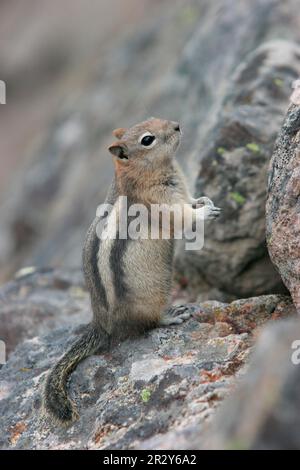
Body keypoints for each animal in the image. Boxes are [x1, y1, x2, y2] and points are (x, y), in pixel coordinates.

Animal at [42, 116, 220, 422]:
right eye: (147, 139)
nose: (177, 126)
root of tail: (102, 324)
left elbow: (192, 201)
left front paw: (205, 201)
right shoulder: (163, 202)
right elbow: (184, 218)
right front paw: (206, 212)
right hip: (154, 295)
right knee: (149, 323)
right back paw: (173, 315)